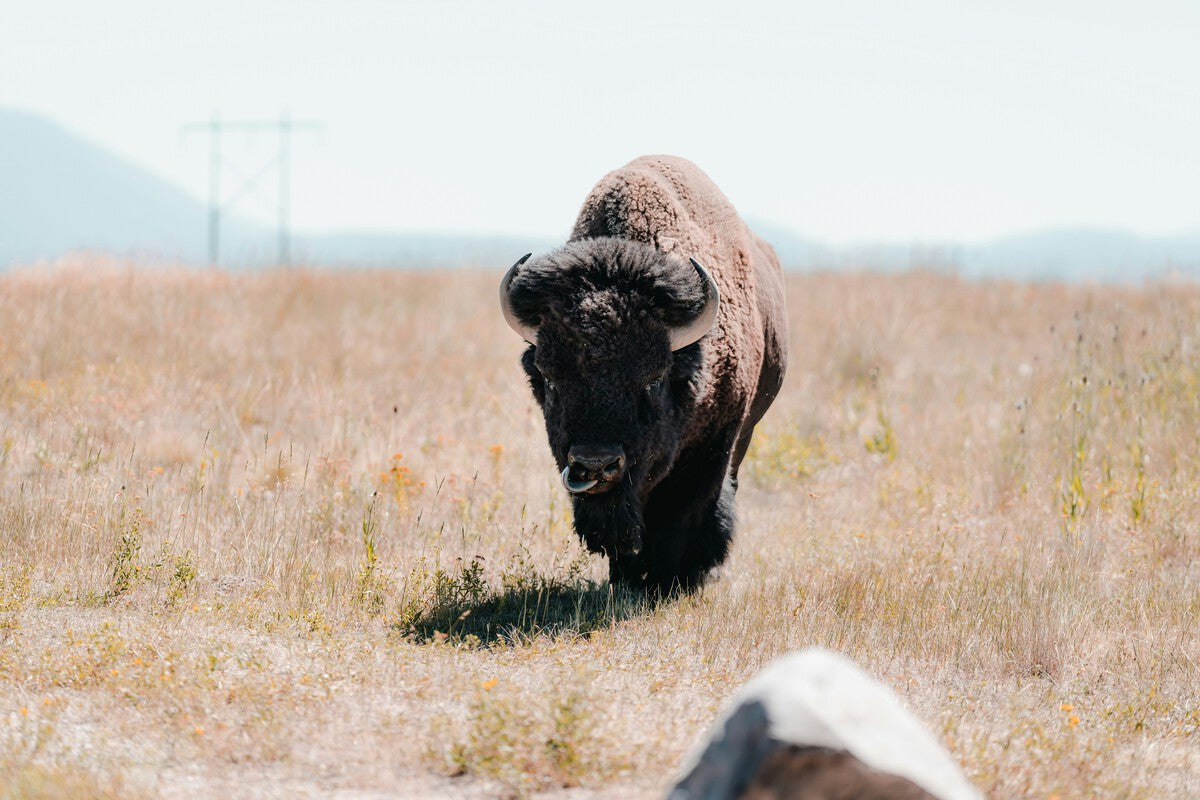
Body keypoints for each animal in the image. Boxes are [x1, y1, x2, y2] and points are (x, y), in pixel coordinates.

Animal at [500, 155, 787, 593]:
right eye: (550, 380)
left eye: (654, 379)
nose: (596, 464)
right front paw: (628, 578)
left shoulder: (715, 444)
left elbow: (683, 512)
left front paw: (671, 581)